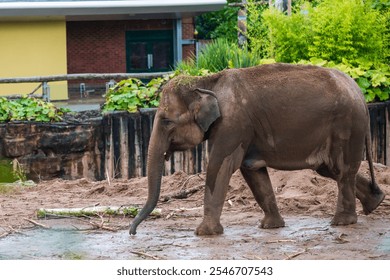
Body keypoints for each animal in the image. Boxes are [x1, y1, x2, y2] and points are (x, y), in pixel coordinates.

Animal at [129, 62, 386, 235]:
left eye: (166, 121)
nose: (132, 232)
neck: (204, 82)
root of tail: (360, 93)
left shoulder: (233, 125)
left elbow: (219, 166)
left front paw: (203, 233)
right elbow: (252, 171)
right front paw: (270, 227)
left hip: (346, 125)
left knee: (341, 170)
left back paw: (342, 222)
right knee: (330, 169)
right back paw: (376, 202)